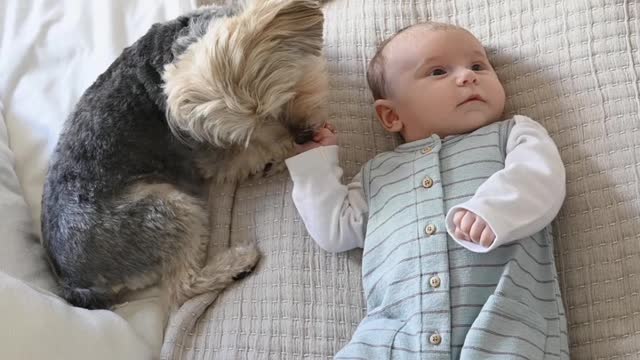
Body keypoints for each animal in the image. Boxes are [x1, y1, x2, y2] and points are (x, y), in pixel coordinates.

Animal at [39, 0, 328, 310]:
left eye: (287, 93)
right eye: (251, 128)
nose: (303, 136)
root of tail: (72, 283)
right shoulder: (211, 157)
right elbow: (255, 152)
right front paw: (286, 152)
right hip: (168, 209)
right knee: (181, 288)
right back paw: (238, 262)